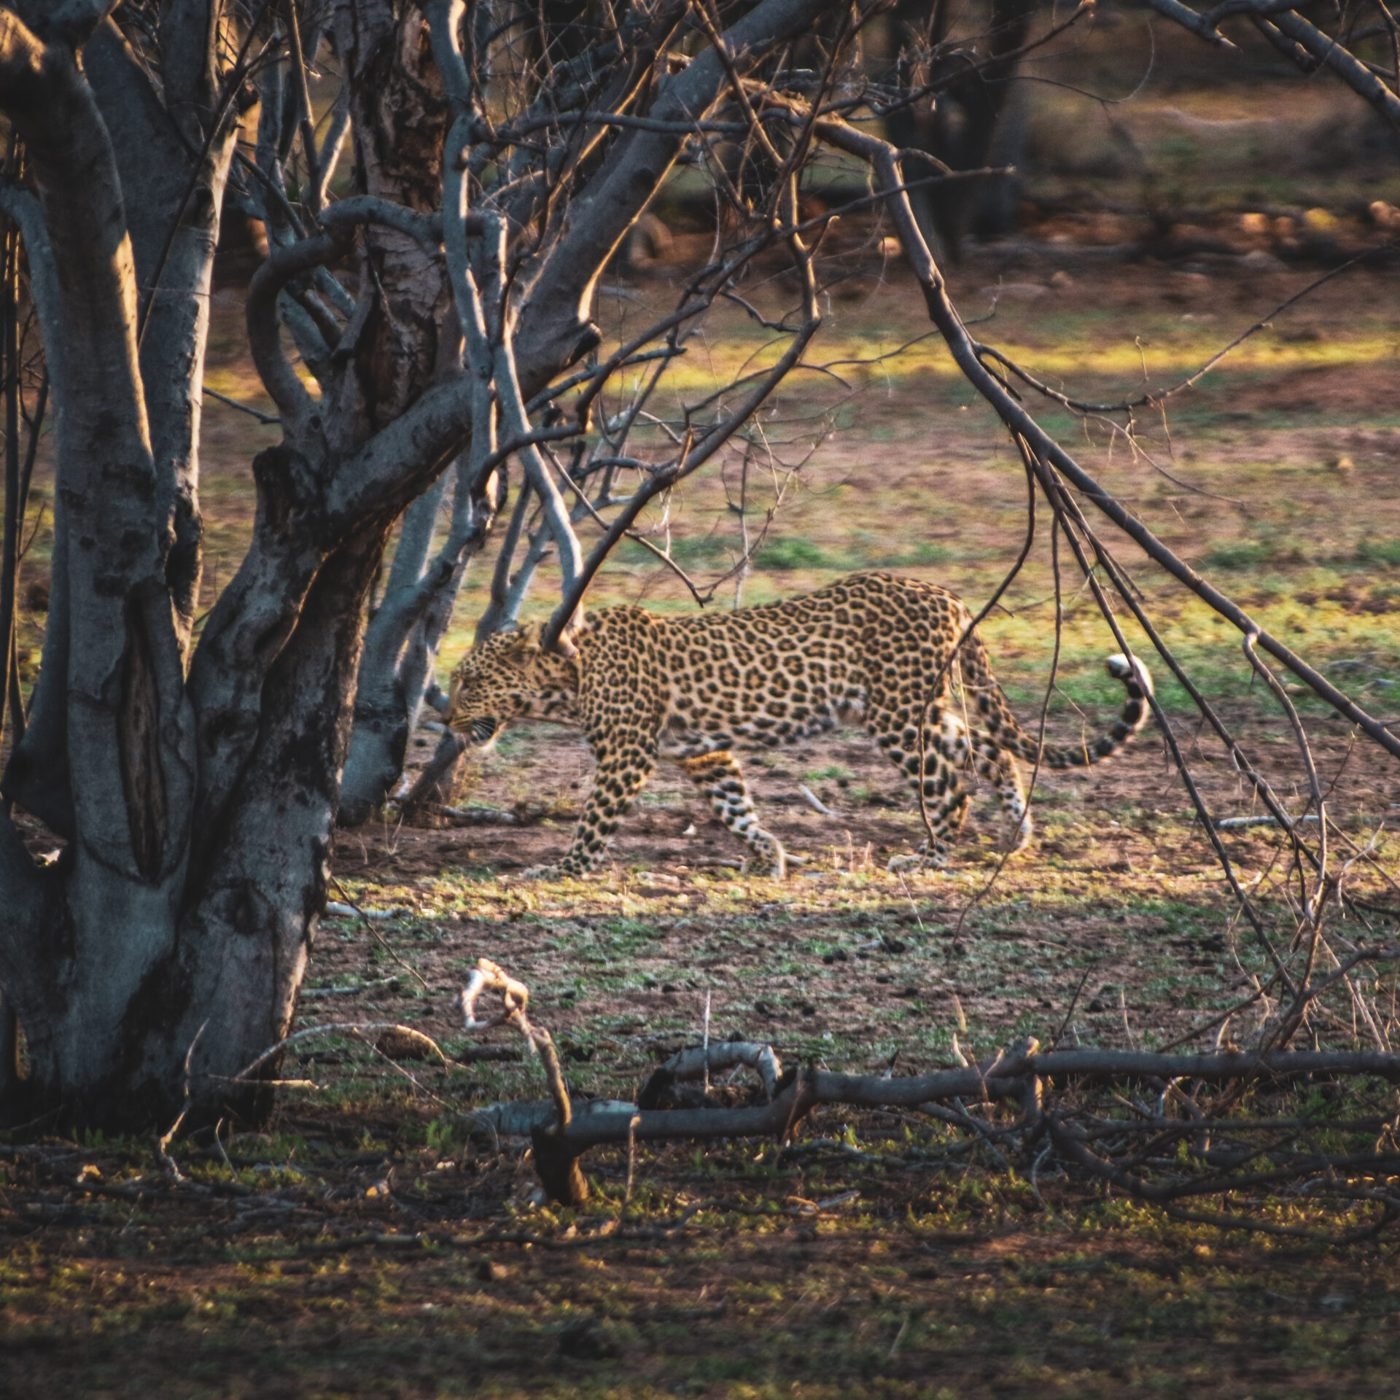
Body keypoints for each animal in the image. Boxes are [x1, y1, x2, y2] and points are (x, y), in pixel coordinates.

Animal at [447, 571, 1154, 878]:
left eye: (470, 682)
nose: (445, 717)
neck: (566, 676)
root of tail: (948, 594)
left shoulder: (627, 755)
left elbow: (593, 821)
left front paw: (564, 869)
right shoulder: (702, 754)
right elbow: (735, 807)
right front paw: (770, 855)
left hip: (899, 713)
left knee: (951, 778)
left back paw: (931, 853)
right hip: (917, 707)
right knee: (987, 750)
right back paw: (1017, 835)